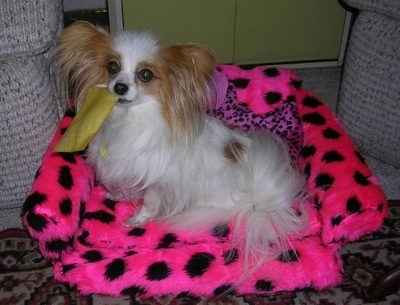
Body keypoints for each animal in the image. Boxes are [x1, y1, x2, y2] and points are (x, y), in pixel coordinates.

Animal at [54, 21, 308, 264]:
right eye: (113, 67)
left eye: (145, 75)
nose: (119, 87)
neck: (131, 118)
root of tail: (256, 196)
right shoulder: (127, 165)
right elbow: (127, 184)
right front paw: (118, 195)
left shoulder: (158, 181)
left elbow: (148, 202)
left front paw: (138, 219)